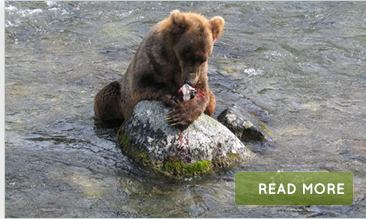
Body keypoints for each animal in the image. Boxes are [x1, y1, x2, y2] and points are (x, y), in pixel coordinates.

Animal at [93, 10, 226, 128]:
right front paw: (174, 98)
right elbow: (142, 84)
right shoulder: (154, 59)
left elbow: (205, 94)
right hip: (118, 95)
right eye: (187, 55)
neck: (174, 57)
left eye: (204, 58)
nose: (190, 81)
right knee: (105, 97)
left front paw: (181, 115)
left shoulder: (200, 71)